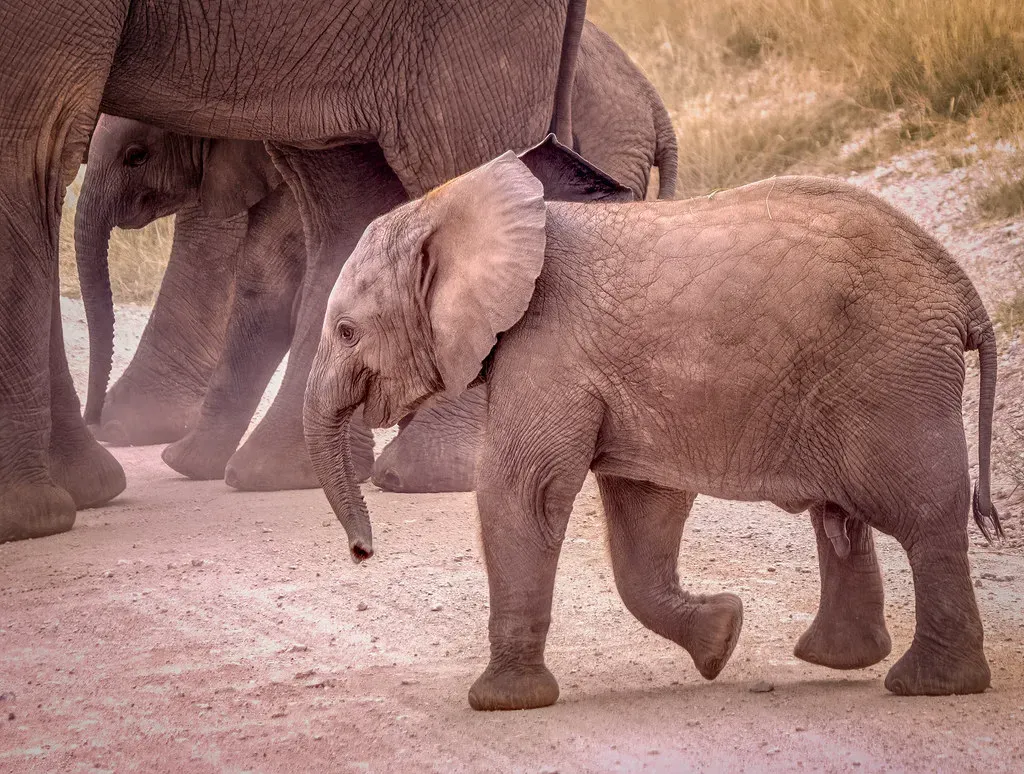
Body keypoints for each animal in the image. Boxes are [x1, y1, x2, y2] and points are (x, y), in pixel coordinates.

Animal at [0, 0, 610, 542]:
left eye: (137, 156)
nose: (95, 415)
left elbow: (25, 154)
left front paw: (33, 516)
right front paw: (80, 492)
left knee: (457, 160)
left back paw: (420, 476)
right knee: (344, 197)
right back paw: (274, 472)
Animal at [73, 20, 678, 492]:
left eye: (135, 155)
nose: (91, 417)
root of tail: (651, 99)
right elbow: (268, 281)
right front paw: (196, 466)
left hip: (609, 147)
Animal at [303, 151, 1001, 710]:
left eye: (347, 331)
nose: (362, 553)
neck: (455, 205)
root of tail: (965, 294)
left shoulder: (547, 348)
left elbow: (524, 492)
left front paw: (501, 704)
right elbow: (641, 506)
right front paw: (722, 638)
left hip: (893, 378)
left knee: (923, 517)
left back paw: (928, 686)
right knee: (843, 517)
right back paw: (840, 660)